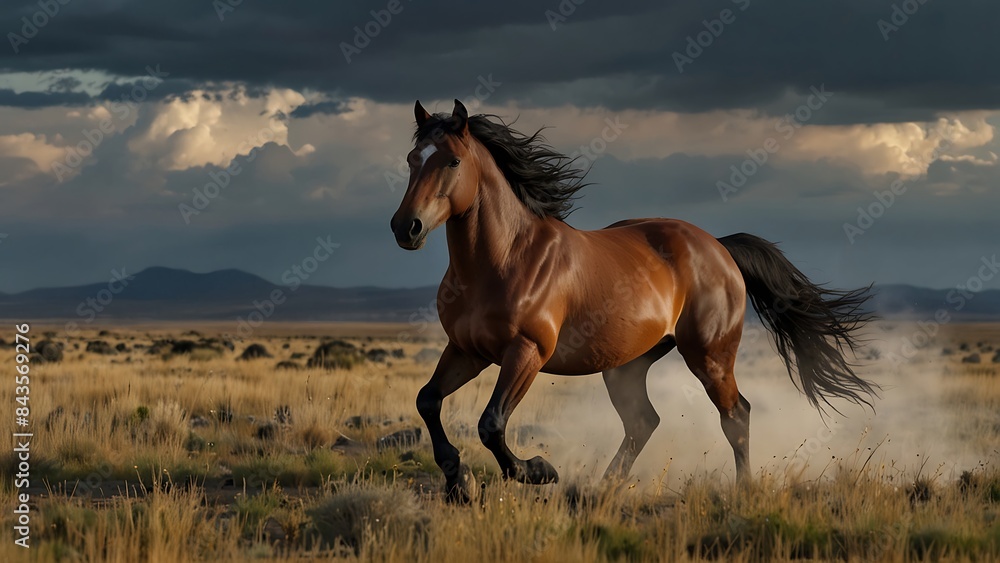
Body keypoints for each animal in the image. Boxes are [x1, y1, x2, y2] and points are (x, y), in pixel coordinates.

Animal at [390, 99, 878, 503]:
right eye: (413, 159)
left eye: (453, 160)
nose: (405, 227)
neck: (505, 258)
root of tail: (718, 247)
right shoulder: (467, 350)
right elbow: (427, 401)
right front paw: (457, 483)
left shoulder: (526, 351)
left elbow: (491, 424)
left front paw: (540, 471)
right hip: (626, 365)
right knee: (644, 421)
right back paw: (602, 487)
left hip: (709, 356)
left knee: (735, 414)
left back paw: (742, 490)